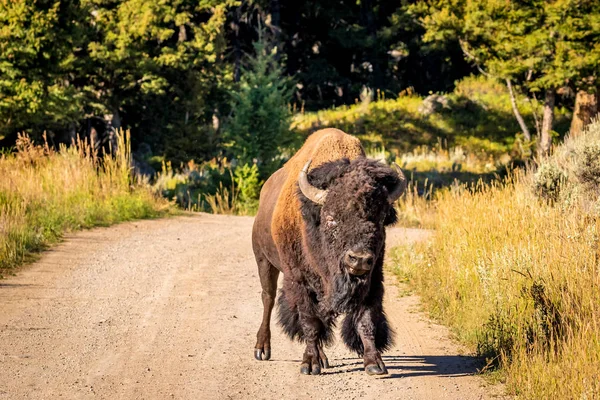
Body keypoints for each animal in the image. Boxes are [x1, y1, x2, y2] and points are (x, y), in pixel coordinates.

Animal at [251, 128, 406, 376]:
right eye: (331, 218)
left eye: (381, 218)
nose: (358, 259)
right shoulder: (299, 280)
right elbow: (310, 321)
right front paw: (309, 364)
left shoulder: (372, 278)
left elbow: (366, 319)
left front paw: (374, 363)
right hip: (264, 260)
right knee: (268, 298)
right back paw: (262, 349)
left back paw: (323, 358)